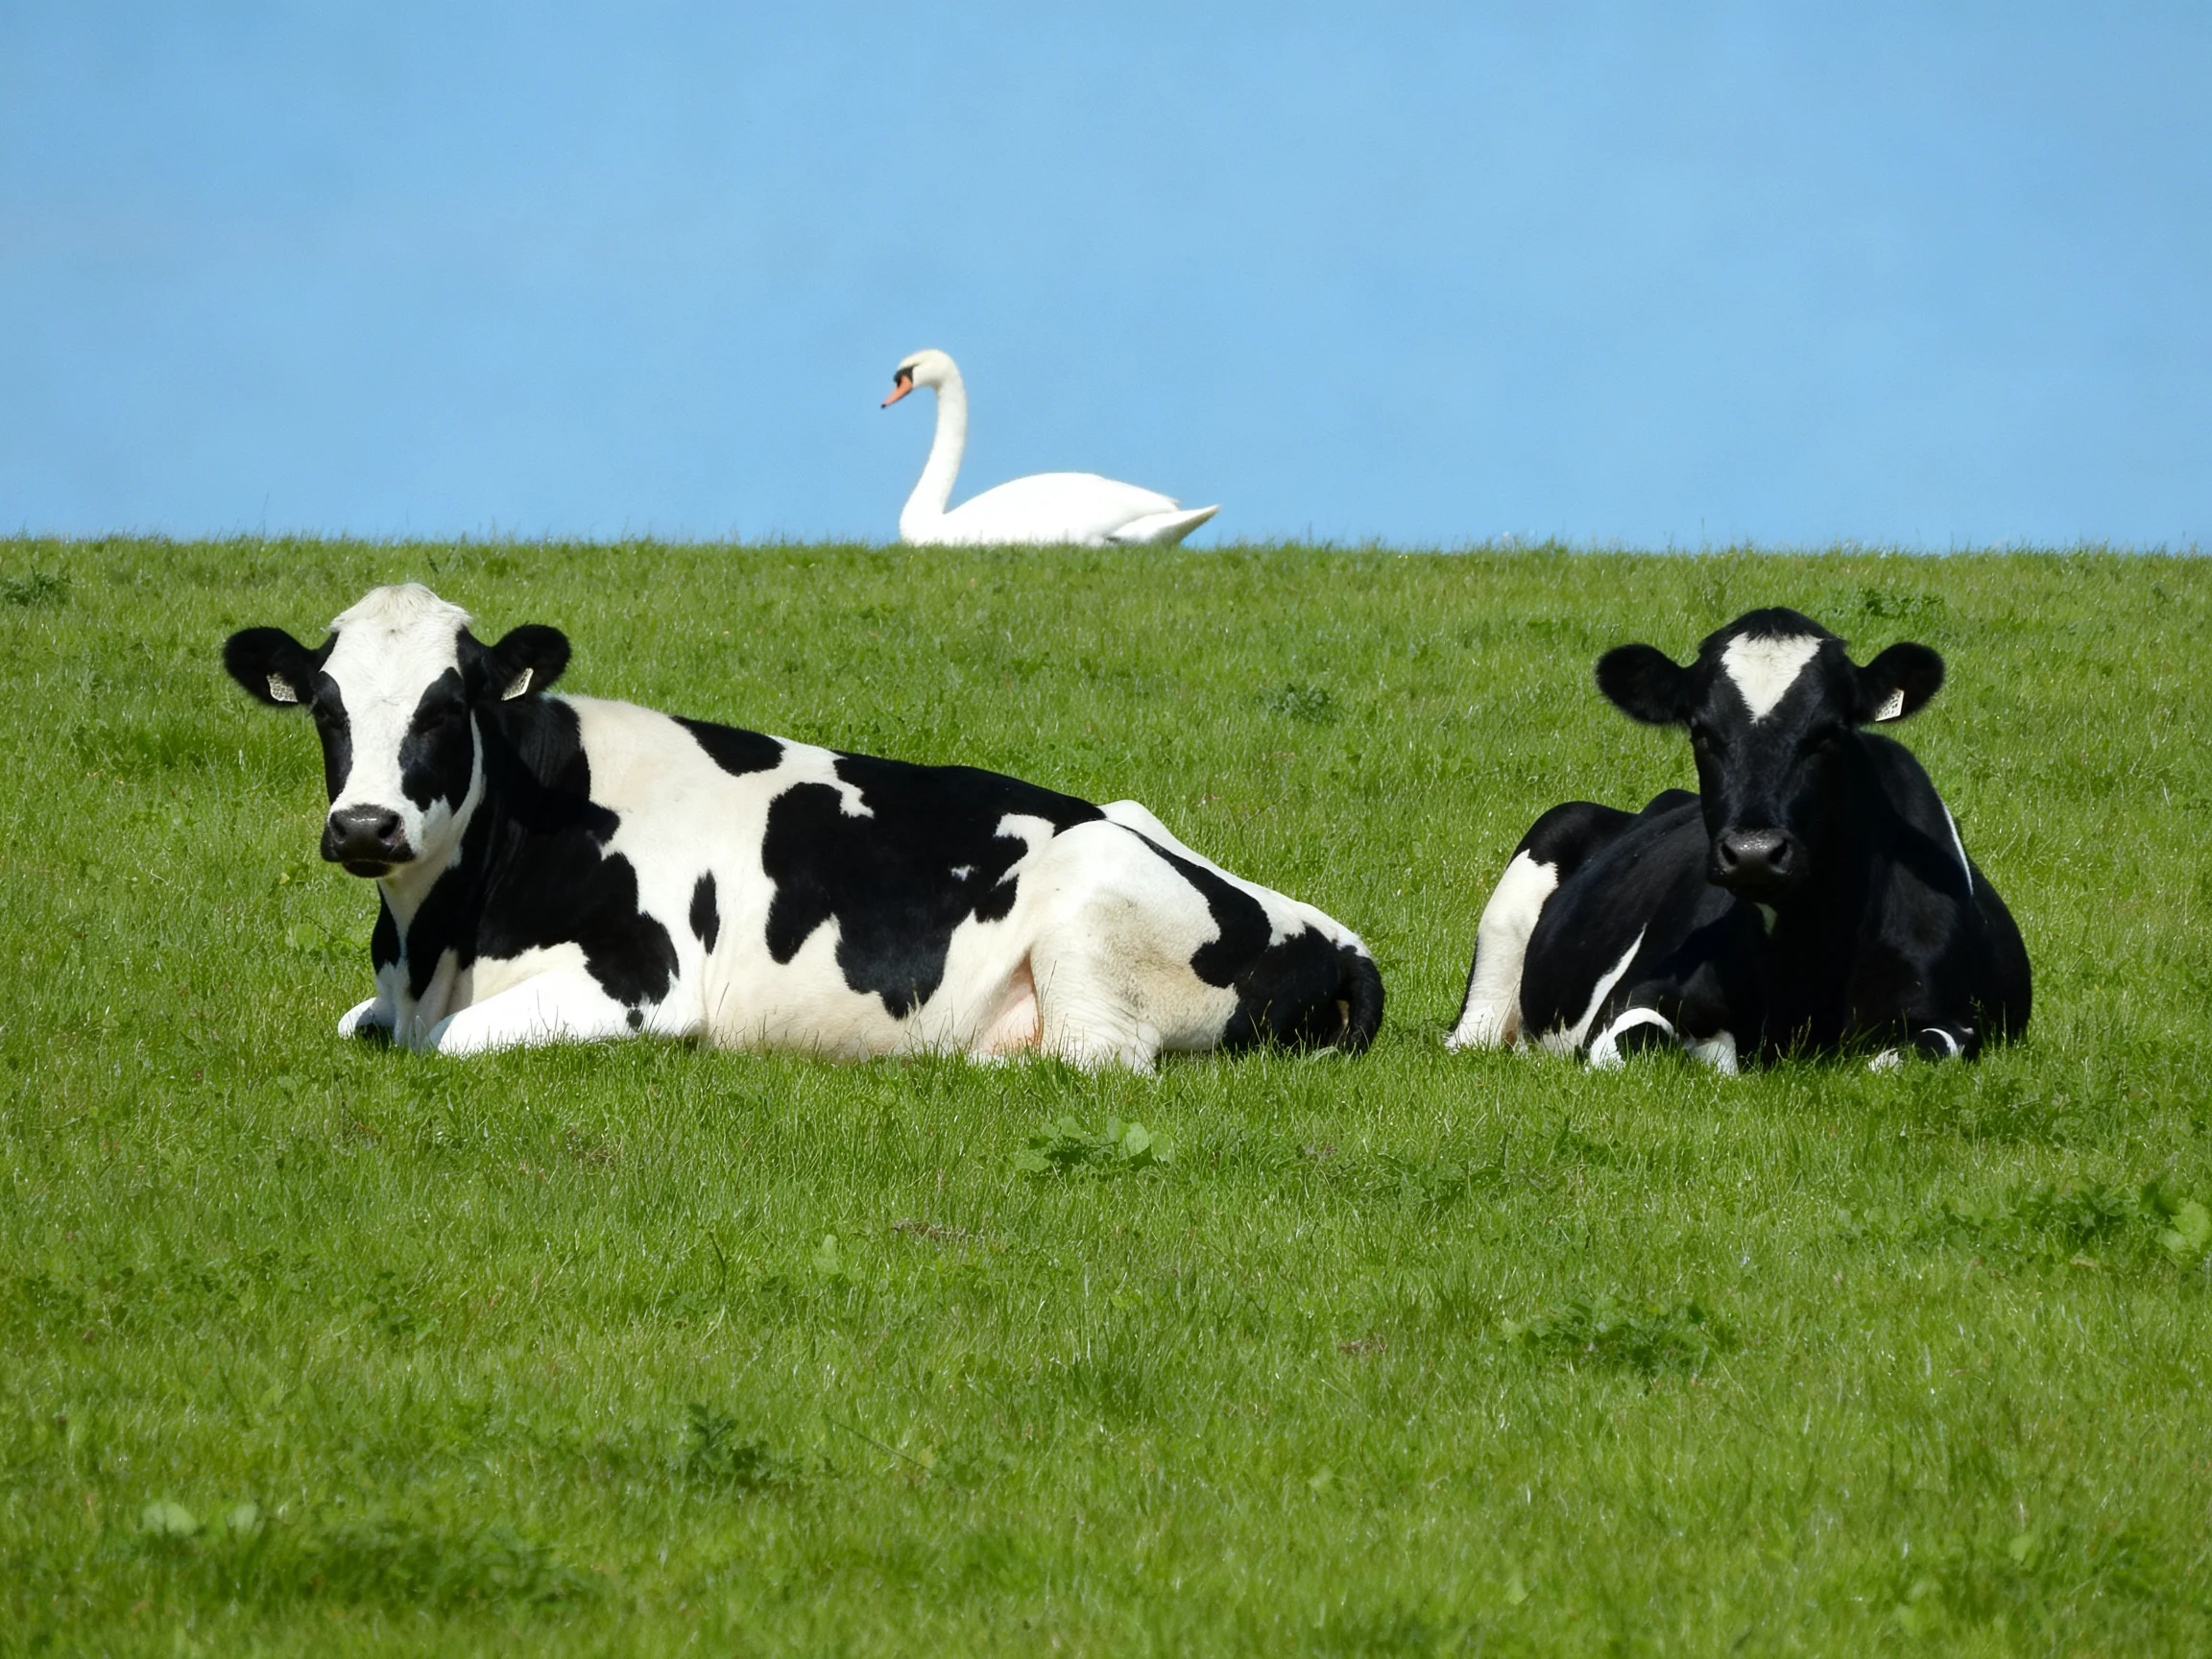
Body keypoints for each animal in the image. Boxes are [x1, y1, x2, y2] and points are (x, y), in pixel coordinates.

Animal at [223, 584, 1383, 1068]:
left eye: (448, 705)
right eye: (324, 708)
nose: (364, 826)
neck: (438, 942)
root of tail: (1334, 935)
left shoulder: (644, 982)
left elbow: (448, 1046)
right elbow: (363, 1027)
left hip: (1093, 908)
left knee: (1094, 1059)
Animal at [1446, 607, 2029, 1071]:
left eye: (1830, 732)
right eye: (1701, 731)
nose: (1753, 854)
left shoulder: (1951, 1018)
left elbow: (1905, 1058)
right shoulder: (1630, 1000)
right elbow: (1645, 1043)